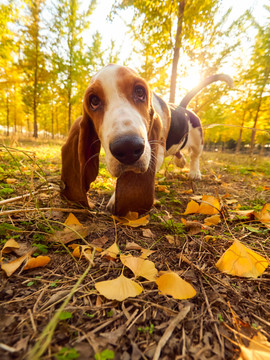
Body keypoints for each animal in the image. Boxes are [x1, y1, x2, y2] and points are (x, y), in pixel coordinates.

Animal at [60, 64, 232, 215]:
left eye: (139, 91)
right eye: (94, 101)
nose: (128, 147)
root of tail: (183, 108)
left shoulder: (156, 152)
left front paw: (115, 200)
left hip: (198, 139)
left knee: (195, 156)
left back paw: (194, 172)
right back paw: (180, 161)